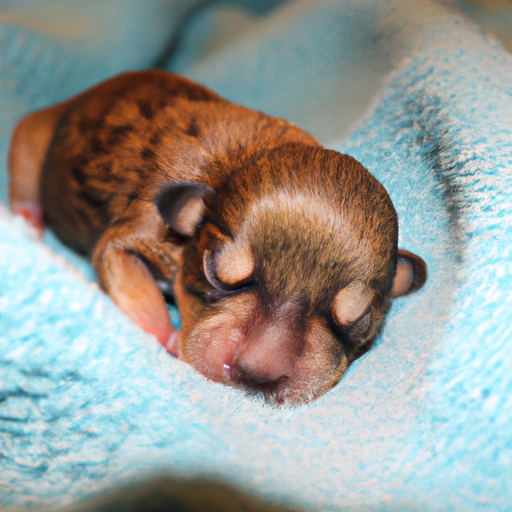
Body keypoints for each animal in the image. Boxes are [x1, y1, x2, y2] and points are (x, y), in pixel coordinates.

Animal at [8, 70, 426, 408]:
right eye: (214, 271)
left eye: (358, 320)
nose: (257, 373)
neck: (234, 166)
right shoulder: (131, 238)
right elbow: (129, 282)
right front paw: (170, 337)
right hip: (35, 135)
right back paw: (27, 219)